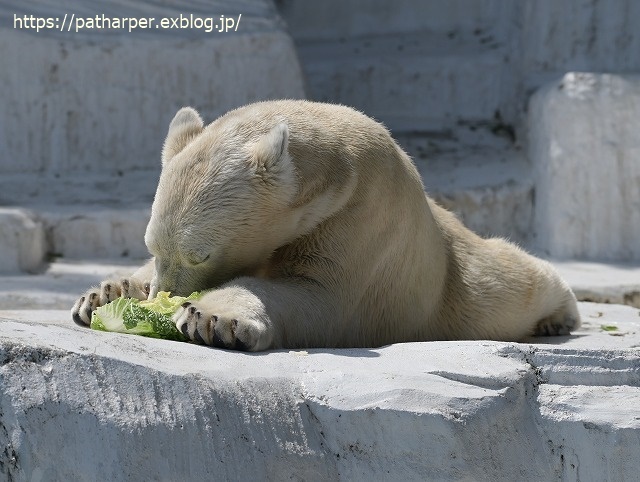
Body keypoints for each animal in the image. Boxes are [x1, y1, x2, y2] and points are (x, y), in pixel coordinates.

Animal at [71, 100, 580, 348]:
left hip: (463, 284)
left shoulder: (360, 216)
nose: (164, 295)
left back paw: (558, 318)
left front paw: (209, 317)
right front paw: (102, 295)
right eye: (152, 246)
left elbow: (320, 296)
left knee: (515, 280)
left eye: (201, 254)